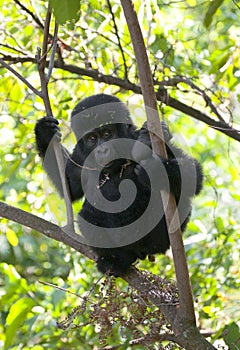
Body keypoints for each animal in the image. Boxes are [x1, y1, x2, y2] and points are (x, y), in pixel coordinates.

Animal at [34, 93, 202, 276]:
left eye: (108, 133)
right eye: (92, 138)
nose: (102, 150)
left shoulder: (155, 143)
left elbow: (193, 176)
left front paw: (156, 169)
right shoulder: (80, 155)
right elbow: (70, 186)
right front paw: (45, 133)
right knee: (88, 216)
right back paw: (116, 260)